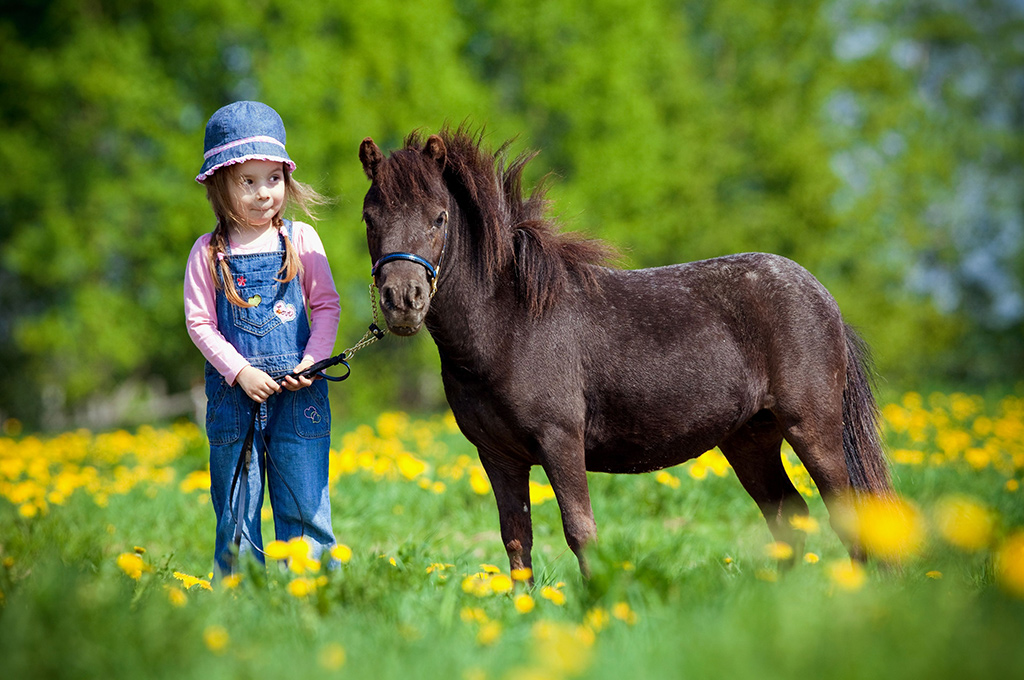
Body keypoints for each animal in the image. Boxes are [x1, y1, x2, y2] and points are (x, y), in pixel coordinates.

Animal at [358, 125, 888, 573]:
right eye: (369, 217)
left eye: (439, 217)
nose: (403, 300)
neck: (508, 324)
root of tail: (822, 297)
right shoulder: (498, 455)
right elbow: (516, 539)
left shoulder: (560, 441)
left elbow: (580, 532)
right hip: (749, 438)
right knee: (786, 513)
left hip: (812, 430)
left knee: (847, 513)